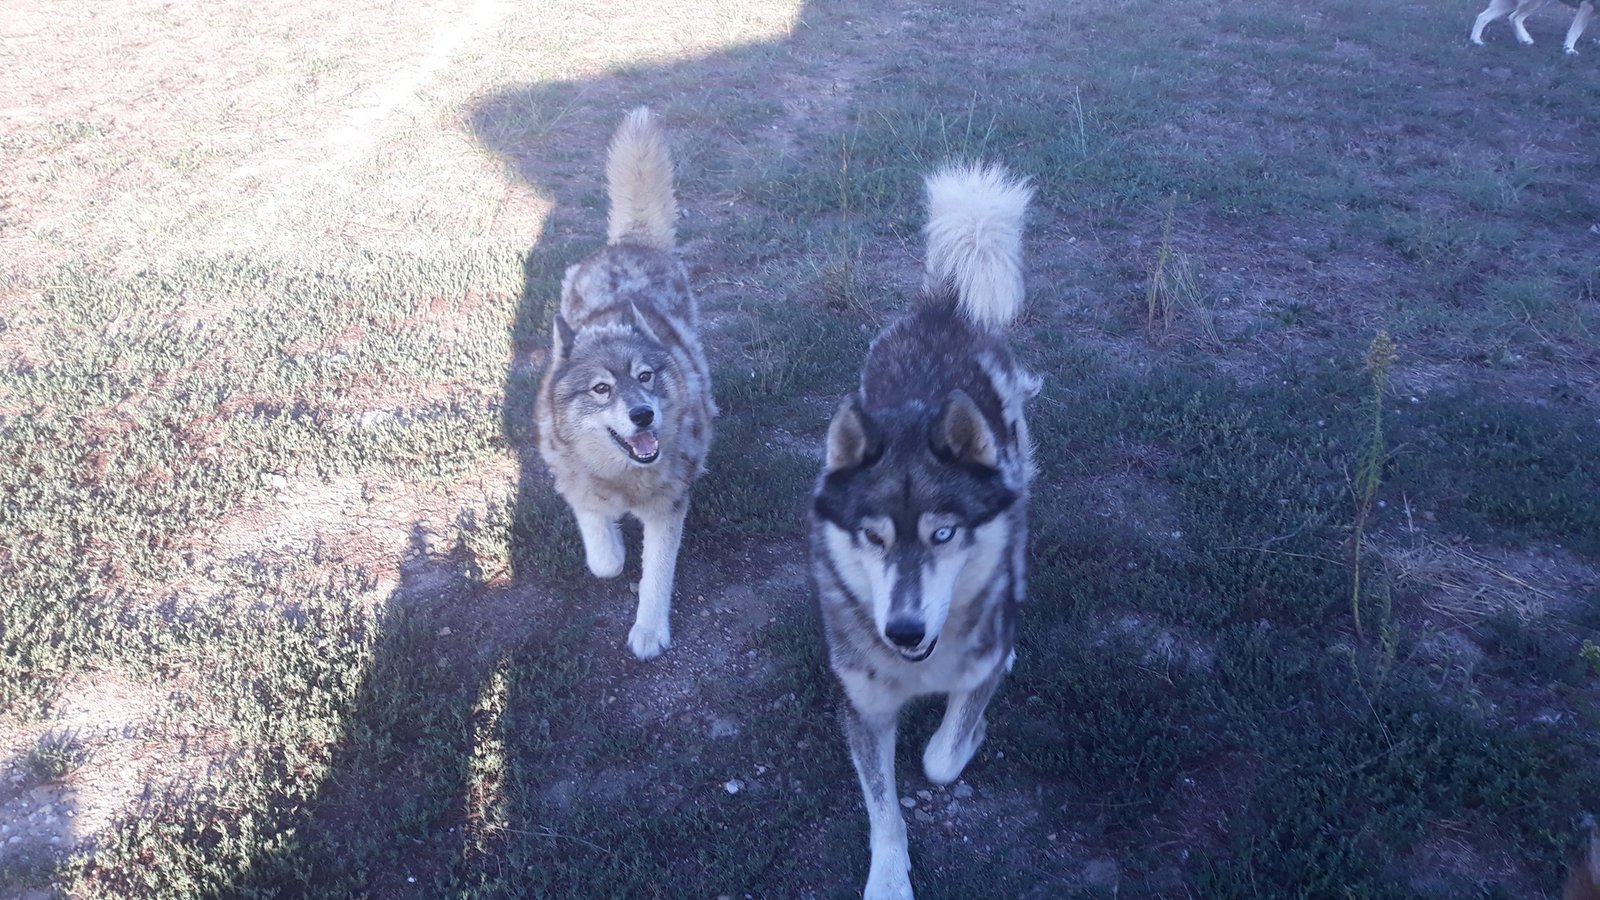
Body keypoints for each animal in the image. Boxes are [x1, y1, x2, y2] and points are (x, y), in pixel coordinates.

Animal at [812, 164, 1036, 890]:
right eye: (873, 537)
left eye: (944, 534)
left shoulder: (971, 671)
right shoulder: (862, 705)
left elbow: (941, 759)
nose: (904, 630)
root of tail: (944, 308)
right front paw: (888, 879)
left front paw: (972, 734)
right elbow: (883, 809)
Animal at [1465, 0, 1593, 52]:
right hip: (1534, 2)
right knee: (1513, 17)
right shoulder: (1588, 6)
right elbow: (1575, 31)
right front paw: (1569, 50)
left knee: (1486, 16)